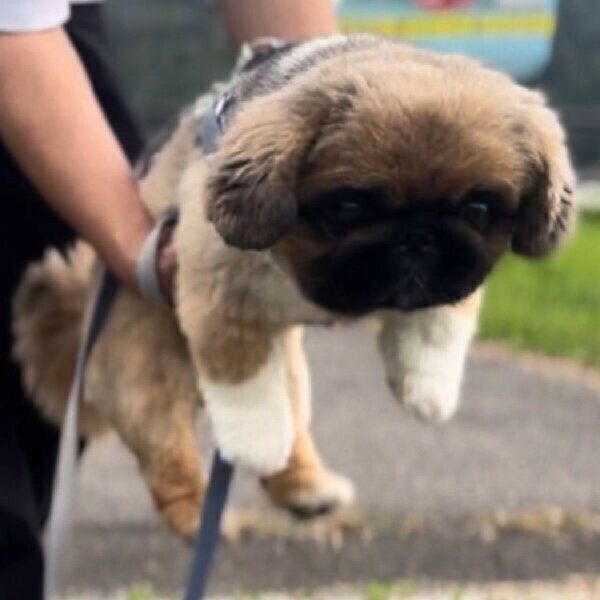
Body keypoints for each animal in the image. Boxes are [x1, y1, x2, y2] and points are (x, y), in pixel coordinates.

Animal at [11, 35, 576, 536]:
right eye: (348, 207)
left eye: (478, 208)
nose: (417, 237)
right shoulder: (220, 298)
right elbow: (245, 390)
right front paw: (253, 441)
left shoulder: (458, 273)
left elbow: (440, 320)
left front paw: (428, 387)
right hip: (148, 377)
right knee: (169, 455)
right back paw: (196, 517)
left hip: (293, 375)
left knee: (293, 438)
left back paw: (310, 492)